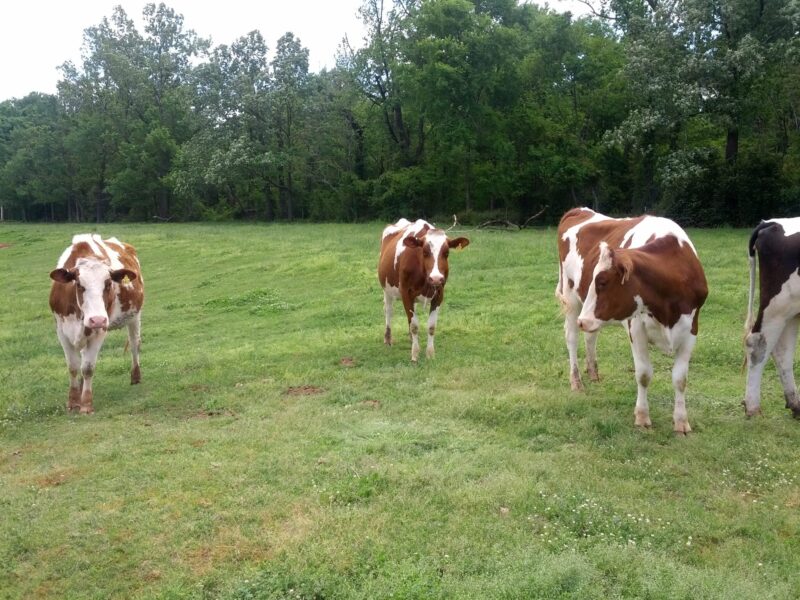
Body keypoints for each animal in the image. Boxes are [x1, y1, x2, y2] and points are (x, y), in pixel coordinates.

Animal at [49, 234, 144, 414]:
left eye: (108, 284)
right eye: (79, 284)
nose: (97, 319)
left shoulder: (100, 330)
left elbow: (88, 368)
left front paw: (86, 404)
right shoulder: (61, 330)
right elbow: (73, 366)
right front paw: (73, 401)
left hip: (135, 316)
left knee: (135, 344)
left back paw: (136, 376)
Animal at [378, 218, 469, 362]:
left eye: (446, 253)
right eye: (425, 252)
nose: (436, 278)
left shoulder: (439, 294)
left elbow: (431, 326)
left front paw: (430, 354)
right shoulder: (406, 293)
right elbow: (414, 325)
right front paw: (415, 354)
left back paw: (411, 339)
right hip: (386, 289)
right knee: (388, 311)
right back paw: (388, 339)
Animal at [575, 228, 708, 433]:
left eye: (602, 282)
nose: (582, 321)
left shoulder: (691, 330)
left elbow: (680, 379)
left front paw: (681, 421)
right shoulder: (636, 328)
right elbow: (644, 375)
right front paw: (642, 417)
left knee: (590, 338)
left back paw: (592, 372)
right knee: (571, 340)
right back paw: (576, 382)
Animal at [743, 218, 800, 417]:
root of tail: (772, 222)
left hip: (791, 311)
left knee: (783, 351)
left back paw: (795, 404)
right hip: (777, 306)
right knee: (758, 342)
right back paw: (752, 407)